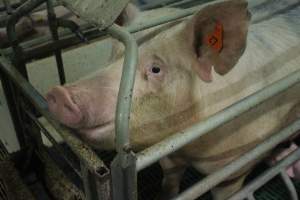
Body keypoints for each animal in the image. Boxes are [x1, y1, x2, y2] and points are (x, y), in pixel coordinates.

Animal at [45, 0, 300, 199]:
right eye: (114, 53)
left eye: (156, 69)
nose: (58, 94)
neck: (191, 146)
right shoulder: (169, 153)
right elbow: (170, 180)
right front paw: (165, 194)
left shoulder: (236, 163)